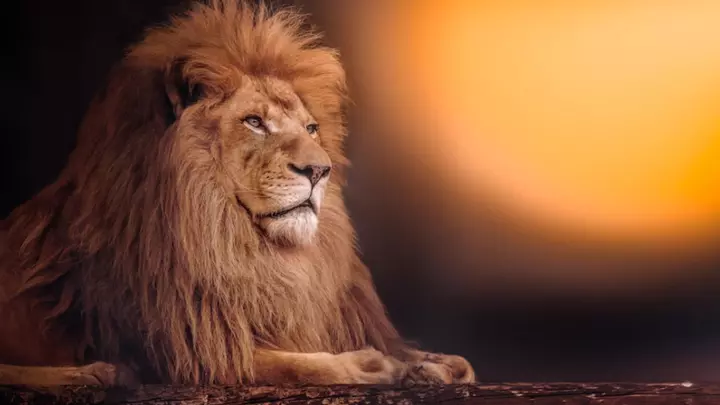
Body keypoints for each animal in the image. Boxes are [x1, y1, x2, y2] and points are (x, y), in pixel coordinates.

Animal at [0, 0, 475, 386]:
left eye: (311, 128)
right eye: (254, 122)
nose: (319, 170)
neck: (239, 241)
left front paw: (435, 363)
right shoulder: (186, 347)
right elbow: (287, 363)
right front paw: (370, 365)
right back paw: (98, 374)